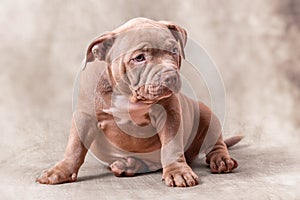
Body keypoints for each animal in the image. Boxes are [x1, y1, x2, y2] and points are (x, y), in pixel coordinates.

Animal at [35, 17, 241, 188]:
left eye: (174, 51)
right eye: (139, 58)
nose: (170, 76)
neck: (128, 94)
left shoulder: (170, 113)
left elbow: (171, 146)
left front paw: (178, 172)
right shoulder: (85, 115)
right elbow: (75, 146)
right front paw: (60, 171)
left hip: (206, 114)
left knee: (216, 142)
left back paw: (221, 160)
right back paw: (127, 165)